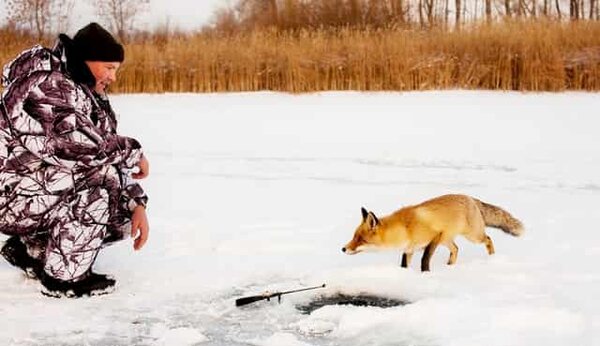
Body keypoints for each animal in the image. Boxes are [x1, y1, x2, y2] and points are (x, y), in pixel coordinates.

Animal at [342, 195, 524, 270]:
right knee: (456, 249)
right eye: (354, 236)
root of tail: (471, 198)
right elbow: (404, 264)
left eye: (360, 239)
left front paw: (426, 274)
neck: (405, 229)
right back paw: (450, 266)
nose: (343, 249)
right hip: (448, 239)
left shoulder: (435, 237)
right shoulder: (409, 249)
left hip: (472, 236)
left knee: (488, 238)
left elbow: (425, 259)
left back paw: (492, 258)